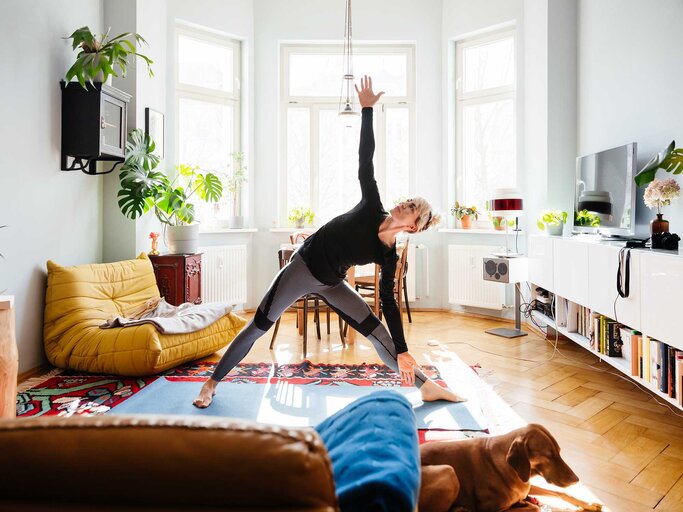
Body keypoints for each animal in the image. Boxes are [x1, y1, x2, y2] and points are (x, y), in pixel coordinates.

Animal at [420, 424, 600, 512]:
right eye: (548, 455)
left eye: (559, 451)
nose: (576, 480)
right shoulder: (493, 510)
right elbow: (534, 507)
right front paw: (524, 504)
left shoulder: (526, 485)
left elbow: (560, 493)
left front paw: (588, 503)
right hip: (448, 471)